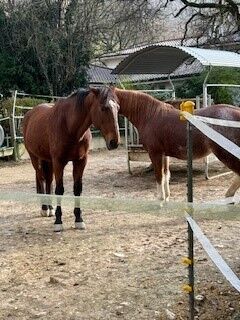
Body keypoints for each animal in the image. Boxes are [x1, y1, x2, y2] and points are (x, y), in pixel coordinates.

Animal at [23, 86, 121, 230]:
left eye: (118, 108)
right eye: (103, 108)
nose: (114, 142)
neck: (69, 126)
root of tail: (29, 114)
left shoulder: (80, 161)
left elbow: (77, 189)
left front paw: (79, 219)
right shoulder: (58, 162)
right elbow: (59, 189)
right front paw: (58, 222)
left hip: (48, 161)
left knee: (48, 180)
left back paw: (50, 208)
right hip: (35, 158)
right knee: (41, 179)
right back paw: (44, 208)